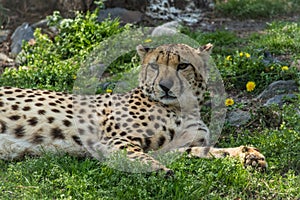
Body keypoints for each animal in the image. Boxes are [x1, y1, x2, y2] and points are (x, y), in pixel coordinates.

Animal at [0, 43, 268, 173]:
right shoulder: (112, 141)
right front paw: (158, 170)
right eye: (154, 66)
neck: (183, 108)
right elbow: (136, 154)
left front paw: (248, 155)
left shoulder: (173, 147)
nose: (165, 86)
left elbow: (204, 151)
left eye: (182, 65)